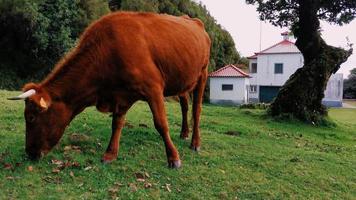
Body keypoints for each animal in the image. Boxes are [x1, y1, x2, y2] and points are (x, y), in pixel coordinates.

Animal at [8, 11, 210, 168]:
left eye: (31, 118)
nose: (29, 152)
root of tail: (194, 21)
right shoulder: (121, 95)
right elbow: (117, 123)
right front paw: (110, 154)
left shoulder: (153, 88)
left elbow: (161, 124)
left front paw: (173, 158)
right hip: (183, 80)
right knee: (185, 105)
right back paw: (184, 133)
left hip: (203, 73)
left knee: (196, 110)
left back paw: (195, 142)